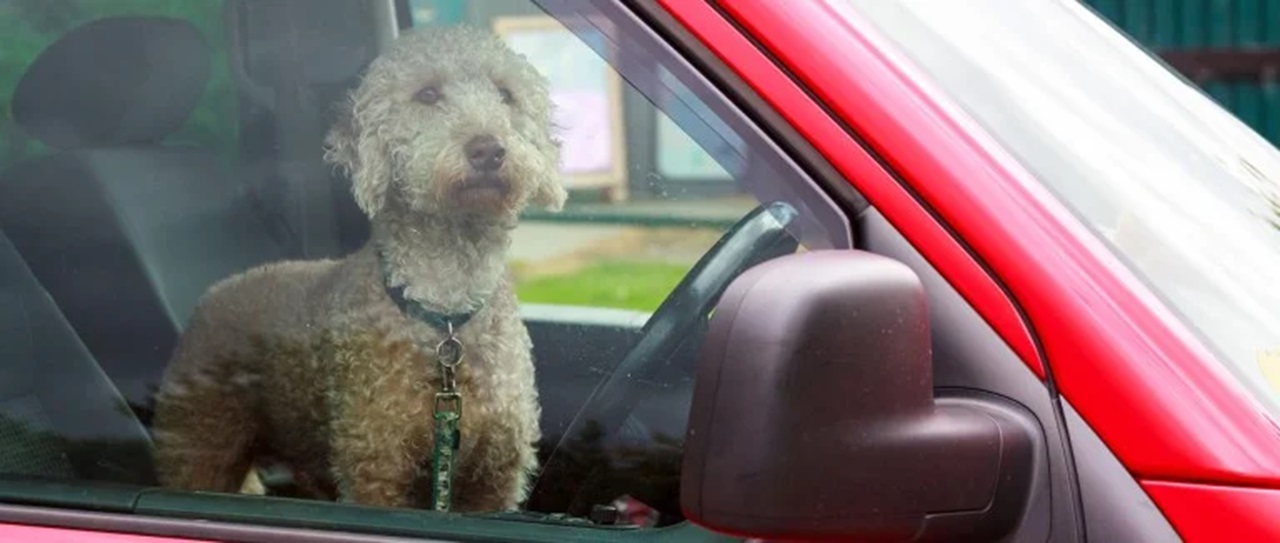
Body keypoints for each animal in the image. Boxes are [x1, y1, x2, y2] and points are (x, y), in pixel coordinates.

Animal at [149, 22, 565, 512]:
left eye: (506, 94)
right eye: (427, 94)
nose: (488, 149)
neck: (444, 311)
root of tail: (213, 293)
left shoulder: (495, 478)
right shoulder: (375, 466)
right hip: (199, 442)